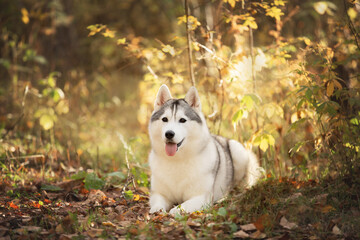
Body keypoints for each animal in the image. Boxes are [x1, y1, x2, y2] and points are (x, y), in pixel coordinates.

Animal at [148, 84, 260, 214]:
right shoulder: (158, 193)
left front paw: (174, 211)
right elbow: (157, 203)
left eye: (182, 120)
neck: (177, 160)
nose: (169, 134)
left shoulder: (201, 197)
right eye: (164, 119)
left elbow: (181, 207)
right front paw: (157, 210)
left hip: (238, 151)